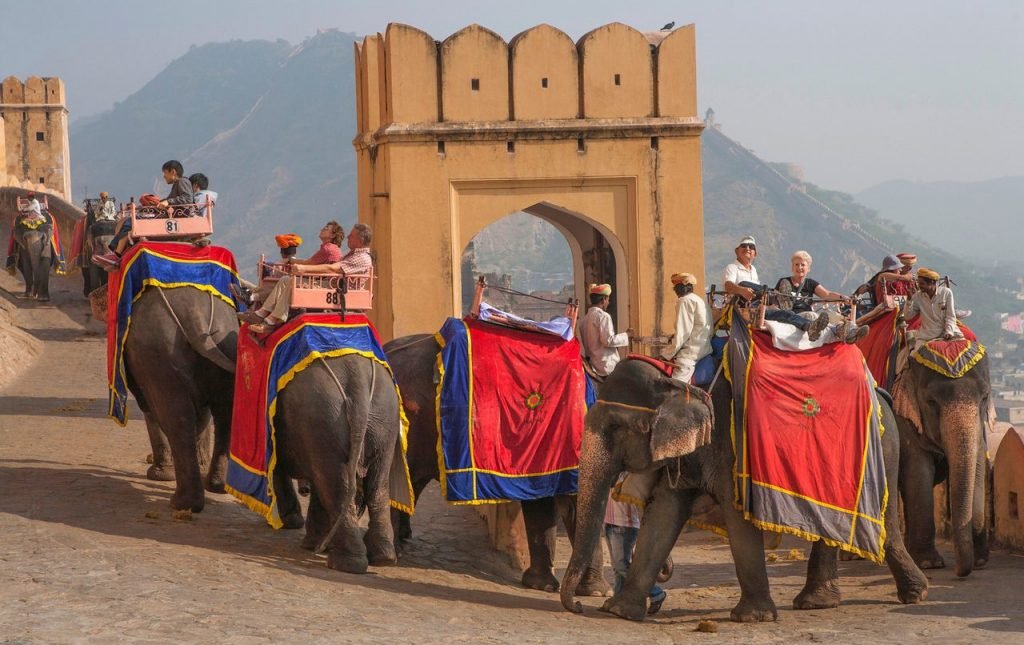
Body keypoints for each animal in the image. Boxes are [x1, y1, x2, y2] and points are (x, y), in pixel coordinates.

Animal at [561, 362, 929, 622]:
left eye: (615, 427)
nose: (578, 606)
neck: (680, 382)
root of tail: (880, 391)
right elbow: (663, 515)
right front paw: (619, 612)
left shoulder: (733, 448)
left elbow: (738, 516)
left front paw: (752, 618)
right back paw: (820, 603)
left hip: (881, 449)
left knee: (882, 522)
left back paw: (912, 595)